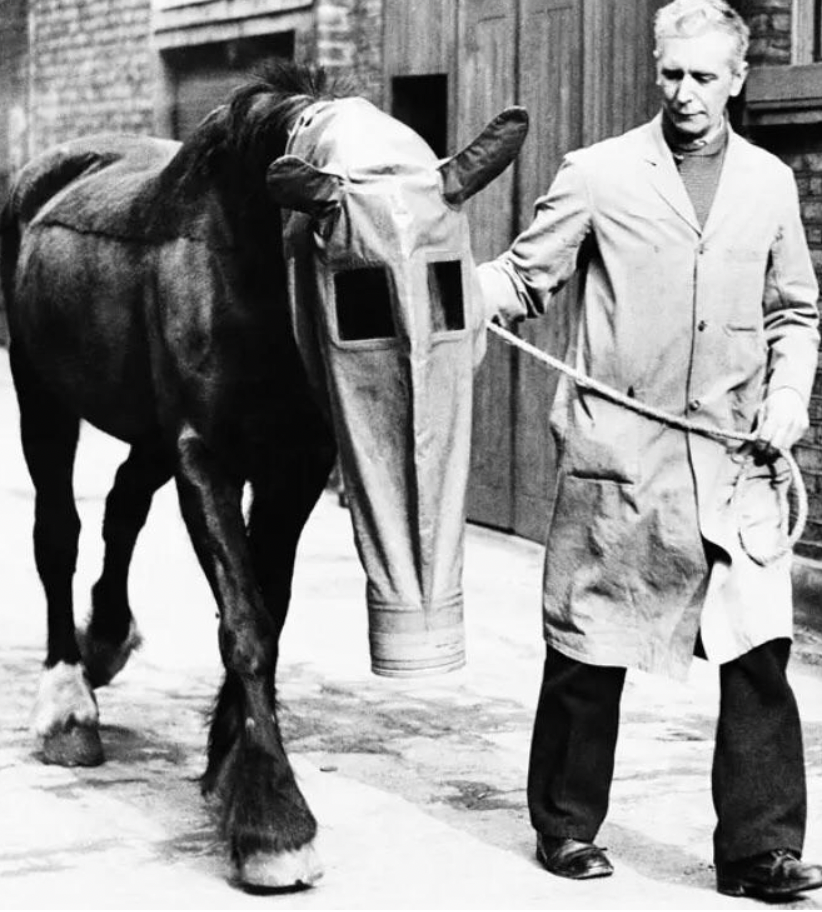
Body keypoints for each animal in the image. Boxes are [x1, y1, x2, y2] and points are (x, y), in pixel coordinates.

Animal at [0, 64, 528, 892]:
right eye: (361, 291)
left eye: (449, 287)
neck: (247, 259)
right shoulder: (205, 460)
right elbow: (244, 621)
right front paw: (274, 821)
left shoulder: (294, 466)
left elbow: (267, 608)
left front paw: (230, 761)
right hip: (39, 389)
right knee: (58, 530)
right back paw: (66, 702)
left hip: (146, 429)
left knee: (122, 504)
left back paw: (108, 638)